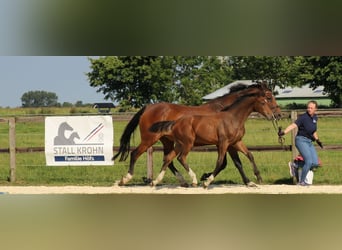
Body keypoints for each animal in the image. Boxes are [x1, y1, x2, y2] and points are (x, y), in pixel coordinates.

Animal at [113, 81, 280, 186]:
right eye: (268, 97)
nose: (277, 115)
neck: (227, 110)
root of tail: (147, 108)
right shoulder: (225, 143)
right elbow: (229, 163)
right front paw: (206, 177)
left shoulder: (230, 143)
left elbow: (236, 162)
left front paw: (251, 181)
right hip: (150, 139)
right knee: (135, 153)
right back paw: (124, 179)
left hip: (167, 141)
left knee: (168, 159)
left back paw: (181, 181)